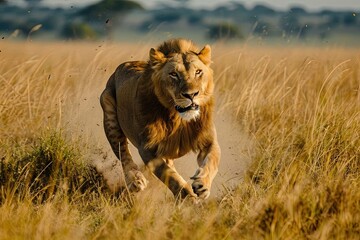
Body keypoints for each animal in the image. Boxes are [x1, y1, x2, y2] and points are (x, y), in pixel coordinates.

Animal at [100, 38, 221, 200]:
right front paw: (187, 196)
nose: (191, 95)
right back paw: (136, 180)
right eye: (173, 74)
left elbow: (211, 162)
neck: (178, 119)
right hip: (109, 112)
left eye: (198, 72)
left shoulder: (209, 141)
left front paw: (202, 185)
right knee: (123, 153)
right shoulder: (147, 149)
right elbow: (167, 174)